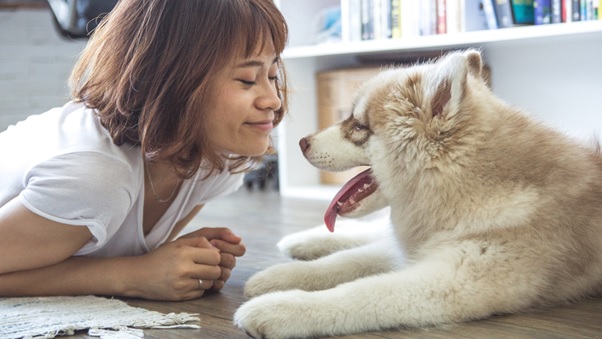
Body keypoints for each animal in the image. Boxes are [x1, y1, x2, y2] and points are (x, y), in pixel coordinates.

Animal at [232, 49, 600, 338]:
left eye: (359, 126)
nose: (300, 142)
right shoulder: (420, 248)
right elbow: (343, 262)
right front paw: (278, 277)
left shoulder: (451, 279)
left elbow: (362, 292)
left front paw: (280, 307)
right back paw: (302, 241)